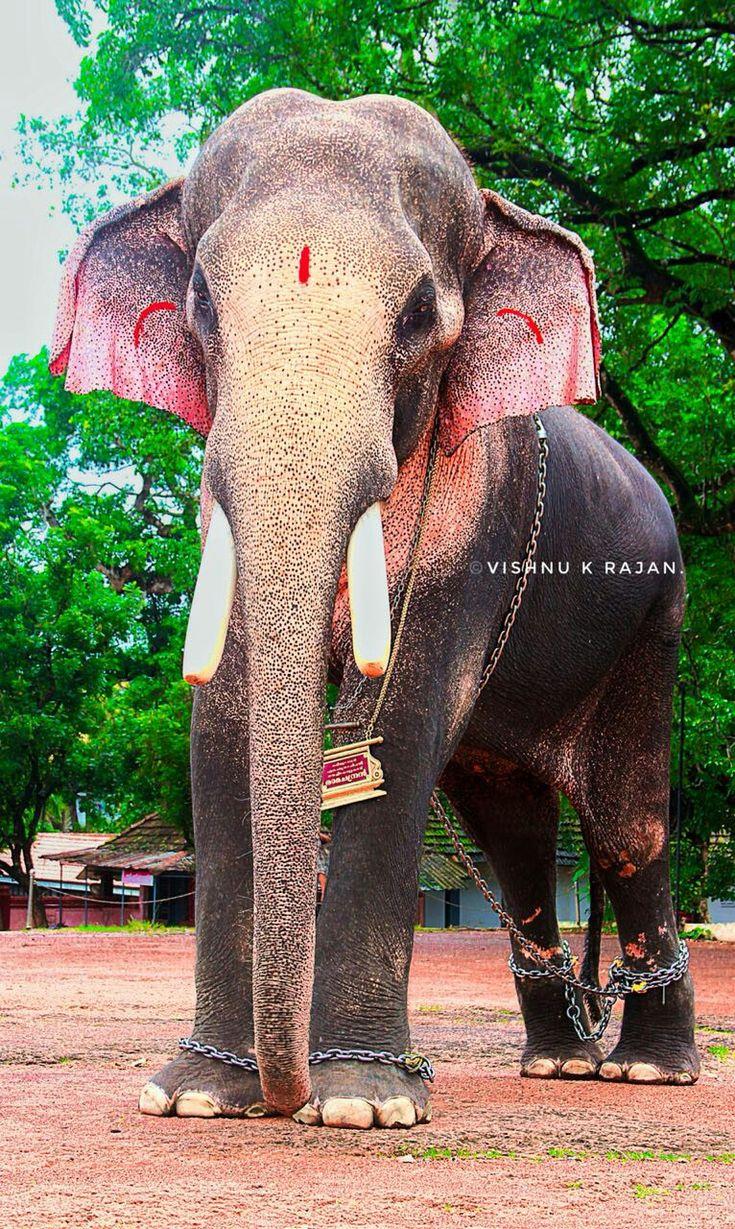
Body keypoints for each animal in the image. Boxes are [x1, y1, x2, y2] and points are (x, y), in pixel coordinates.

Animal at [50, 87, 698, 1130]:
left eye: (421, 310)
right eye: (201, 303)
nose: (284, 1097)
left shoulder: (480, 523)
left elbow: (397, 728)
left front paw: (359, 1102)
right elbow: (221, 727)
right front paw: (196, 1094)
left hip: (652, 625)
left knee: (625, 826)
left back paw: (646, 1071)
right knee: (514, 833)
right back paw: (559, 1062)